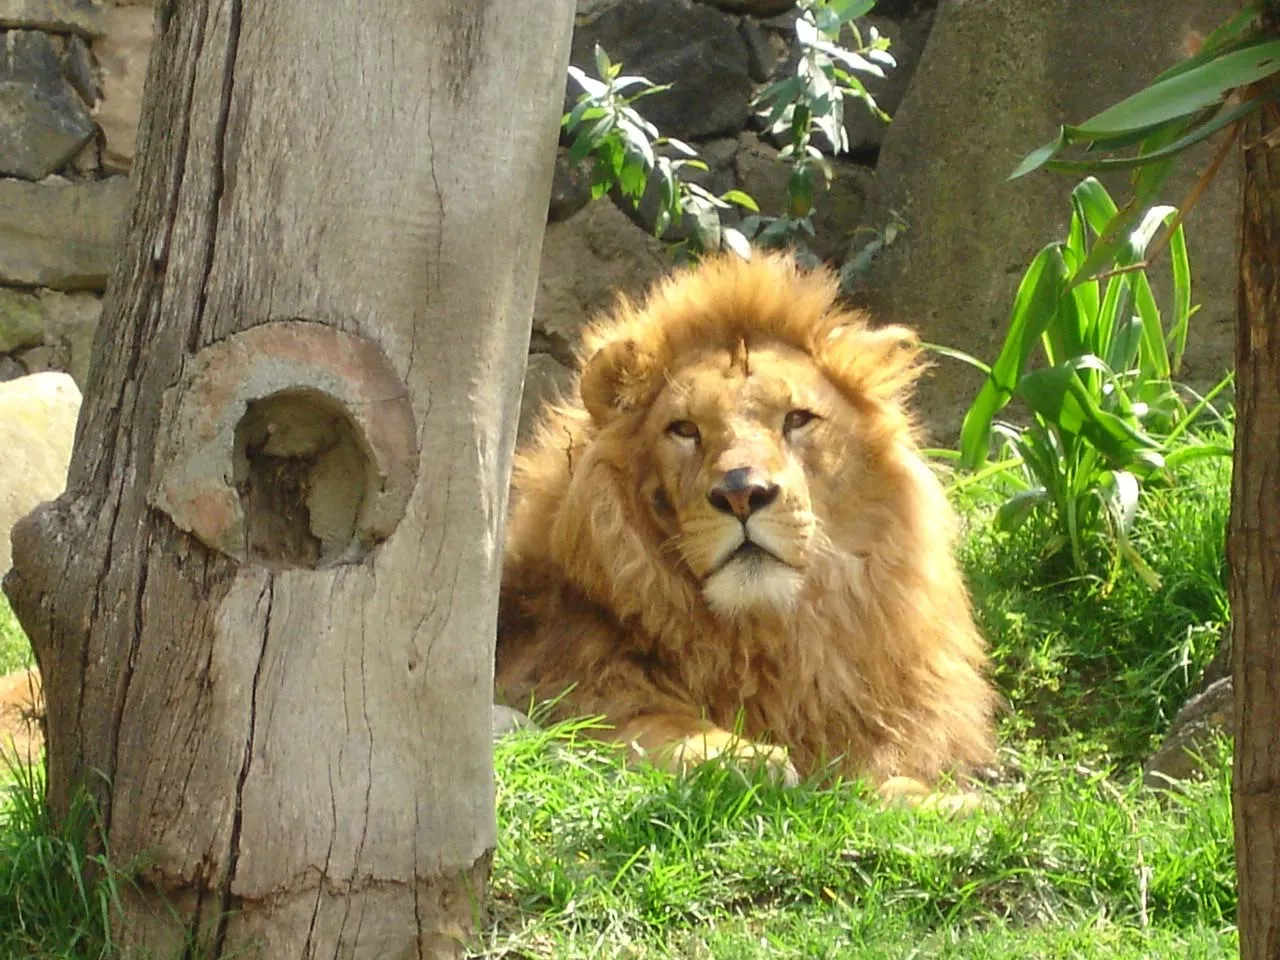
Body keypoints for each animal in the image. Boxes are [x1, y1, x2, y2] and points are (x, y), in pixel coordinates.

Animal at [494, 249, 993, 798]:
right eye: (684, 429)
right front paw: (737, 755)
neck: (772, 640)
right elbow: (640, 723)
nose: (740, 493)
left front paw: (948, 803)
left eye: (797, 418)